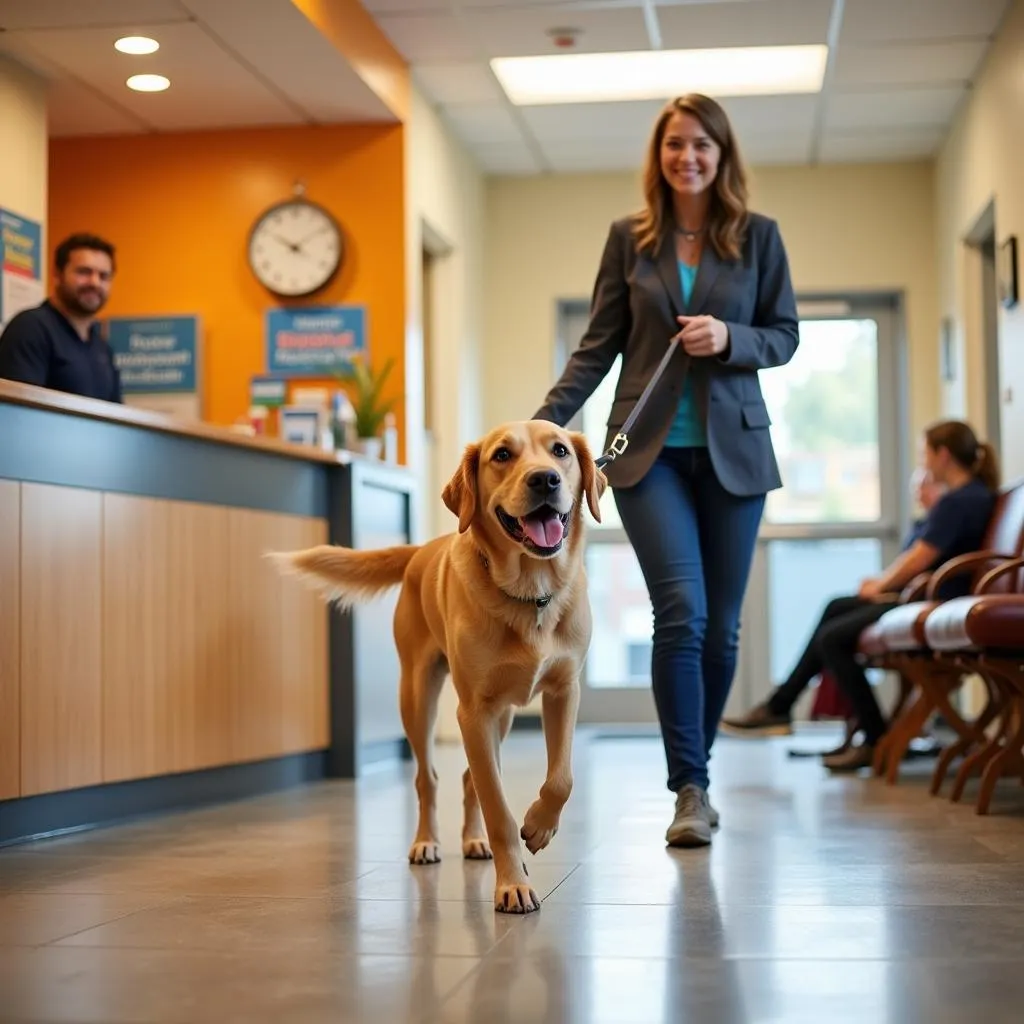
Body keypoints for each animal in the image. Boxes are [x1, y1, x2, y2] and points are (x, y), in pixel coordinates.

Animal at [274, 419, 606, 917]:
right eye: (502, 455)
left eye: (561, 451)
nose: (545, 479)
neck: (530, 595)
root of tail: (419, 550)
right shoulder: (472, 711)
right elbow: (497, 807)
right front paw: (512, 884)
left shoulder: (563, 692)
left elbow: (560, 779)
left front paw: (539, 825)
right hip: (418, 695)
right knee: (427, 778)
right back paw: (427, 842)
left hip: (503, 715)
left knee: (470, 778)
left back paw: (473, 841)